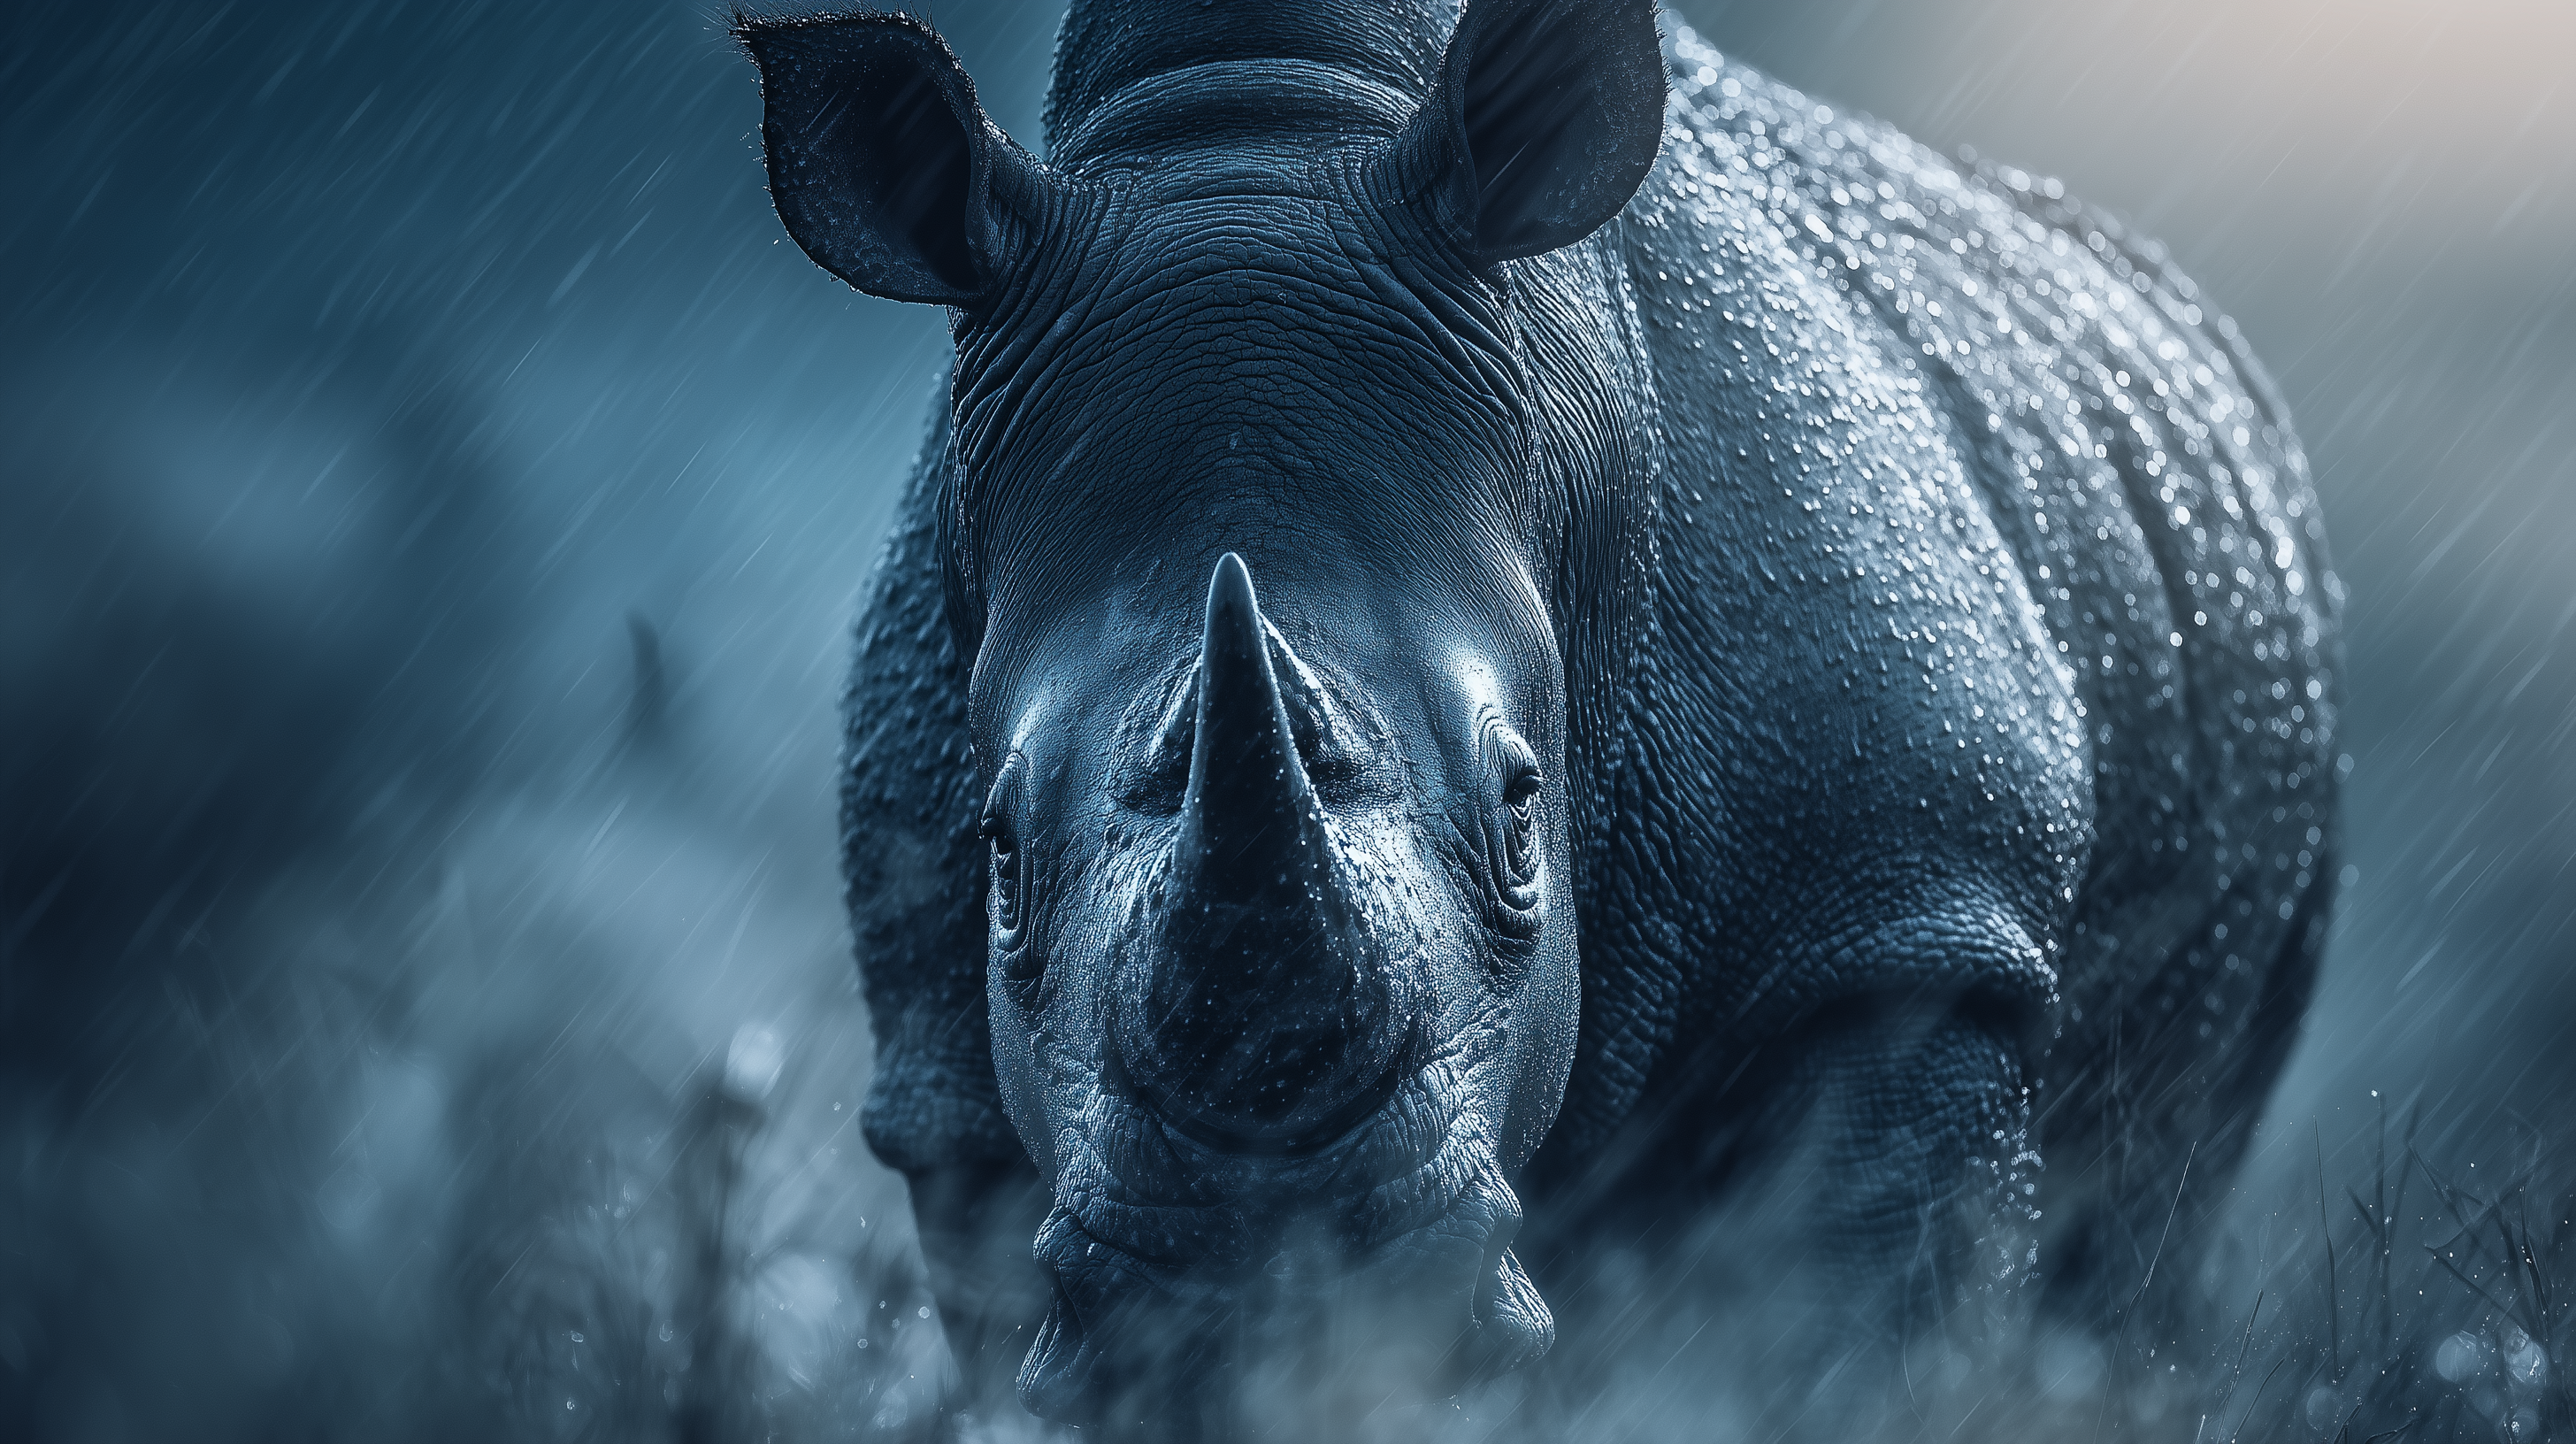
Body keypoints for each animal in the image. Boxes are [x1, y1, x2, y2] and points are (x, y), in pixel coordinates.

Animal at [738, 0, 2341, 1432]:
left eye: (1524, 812)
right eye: (997, 853)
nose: (1256, 1302)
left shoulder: (1911, 918)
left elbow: (1871, 1345)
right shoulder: (947, 1093)